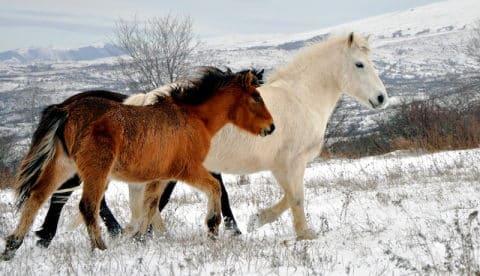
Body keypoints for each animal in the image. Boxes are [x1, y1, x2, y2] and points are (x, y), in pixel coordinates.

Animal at [1, 67, 274, 260]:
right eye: (256, 97)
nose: (271, 127)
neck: (193, 117)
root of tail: (65, 108)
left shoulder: (161, 176)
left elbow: (150, 205)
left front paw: (140, 239)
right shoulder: (188, 170)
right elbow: (215, 190)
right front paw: (213, 227)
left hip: (63, 165)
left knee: (38, 196)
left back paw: (13, 246)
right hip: (95, 170)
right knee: (86, 205)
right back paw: (100, 248)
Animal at [125, 33, 388, 239]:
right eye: (359, 64)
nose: (382, 98)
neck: (300, 98)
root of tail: (144, 100)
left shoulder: (280, 166)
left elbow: (289, 196)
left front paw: (257, 219)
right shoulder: (293, 162)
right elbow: (297, 198)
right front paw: (304, 234)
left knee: (148, 203)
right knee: (149, 202)